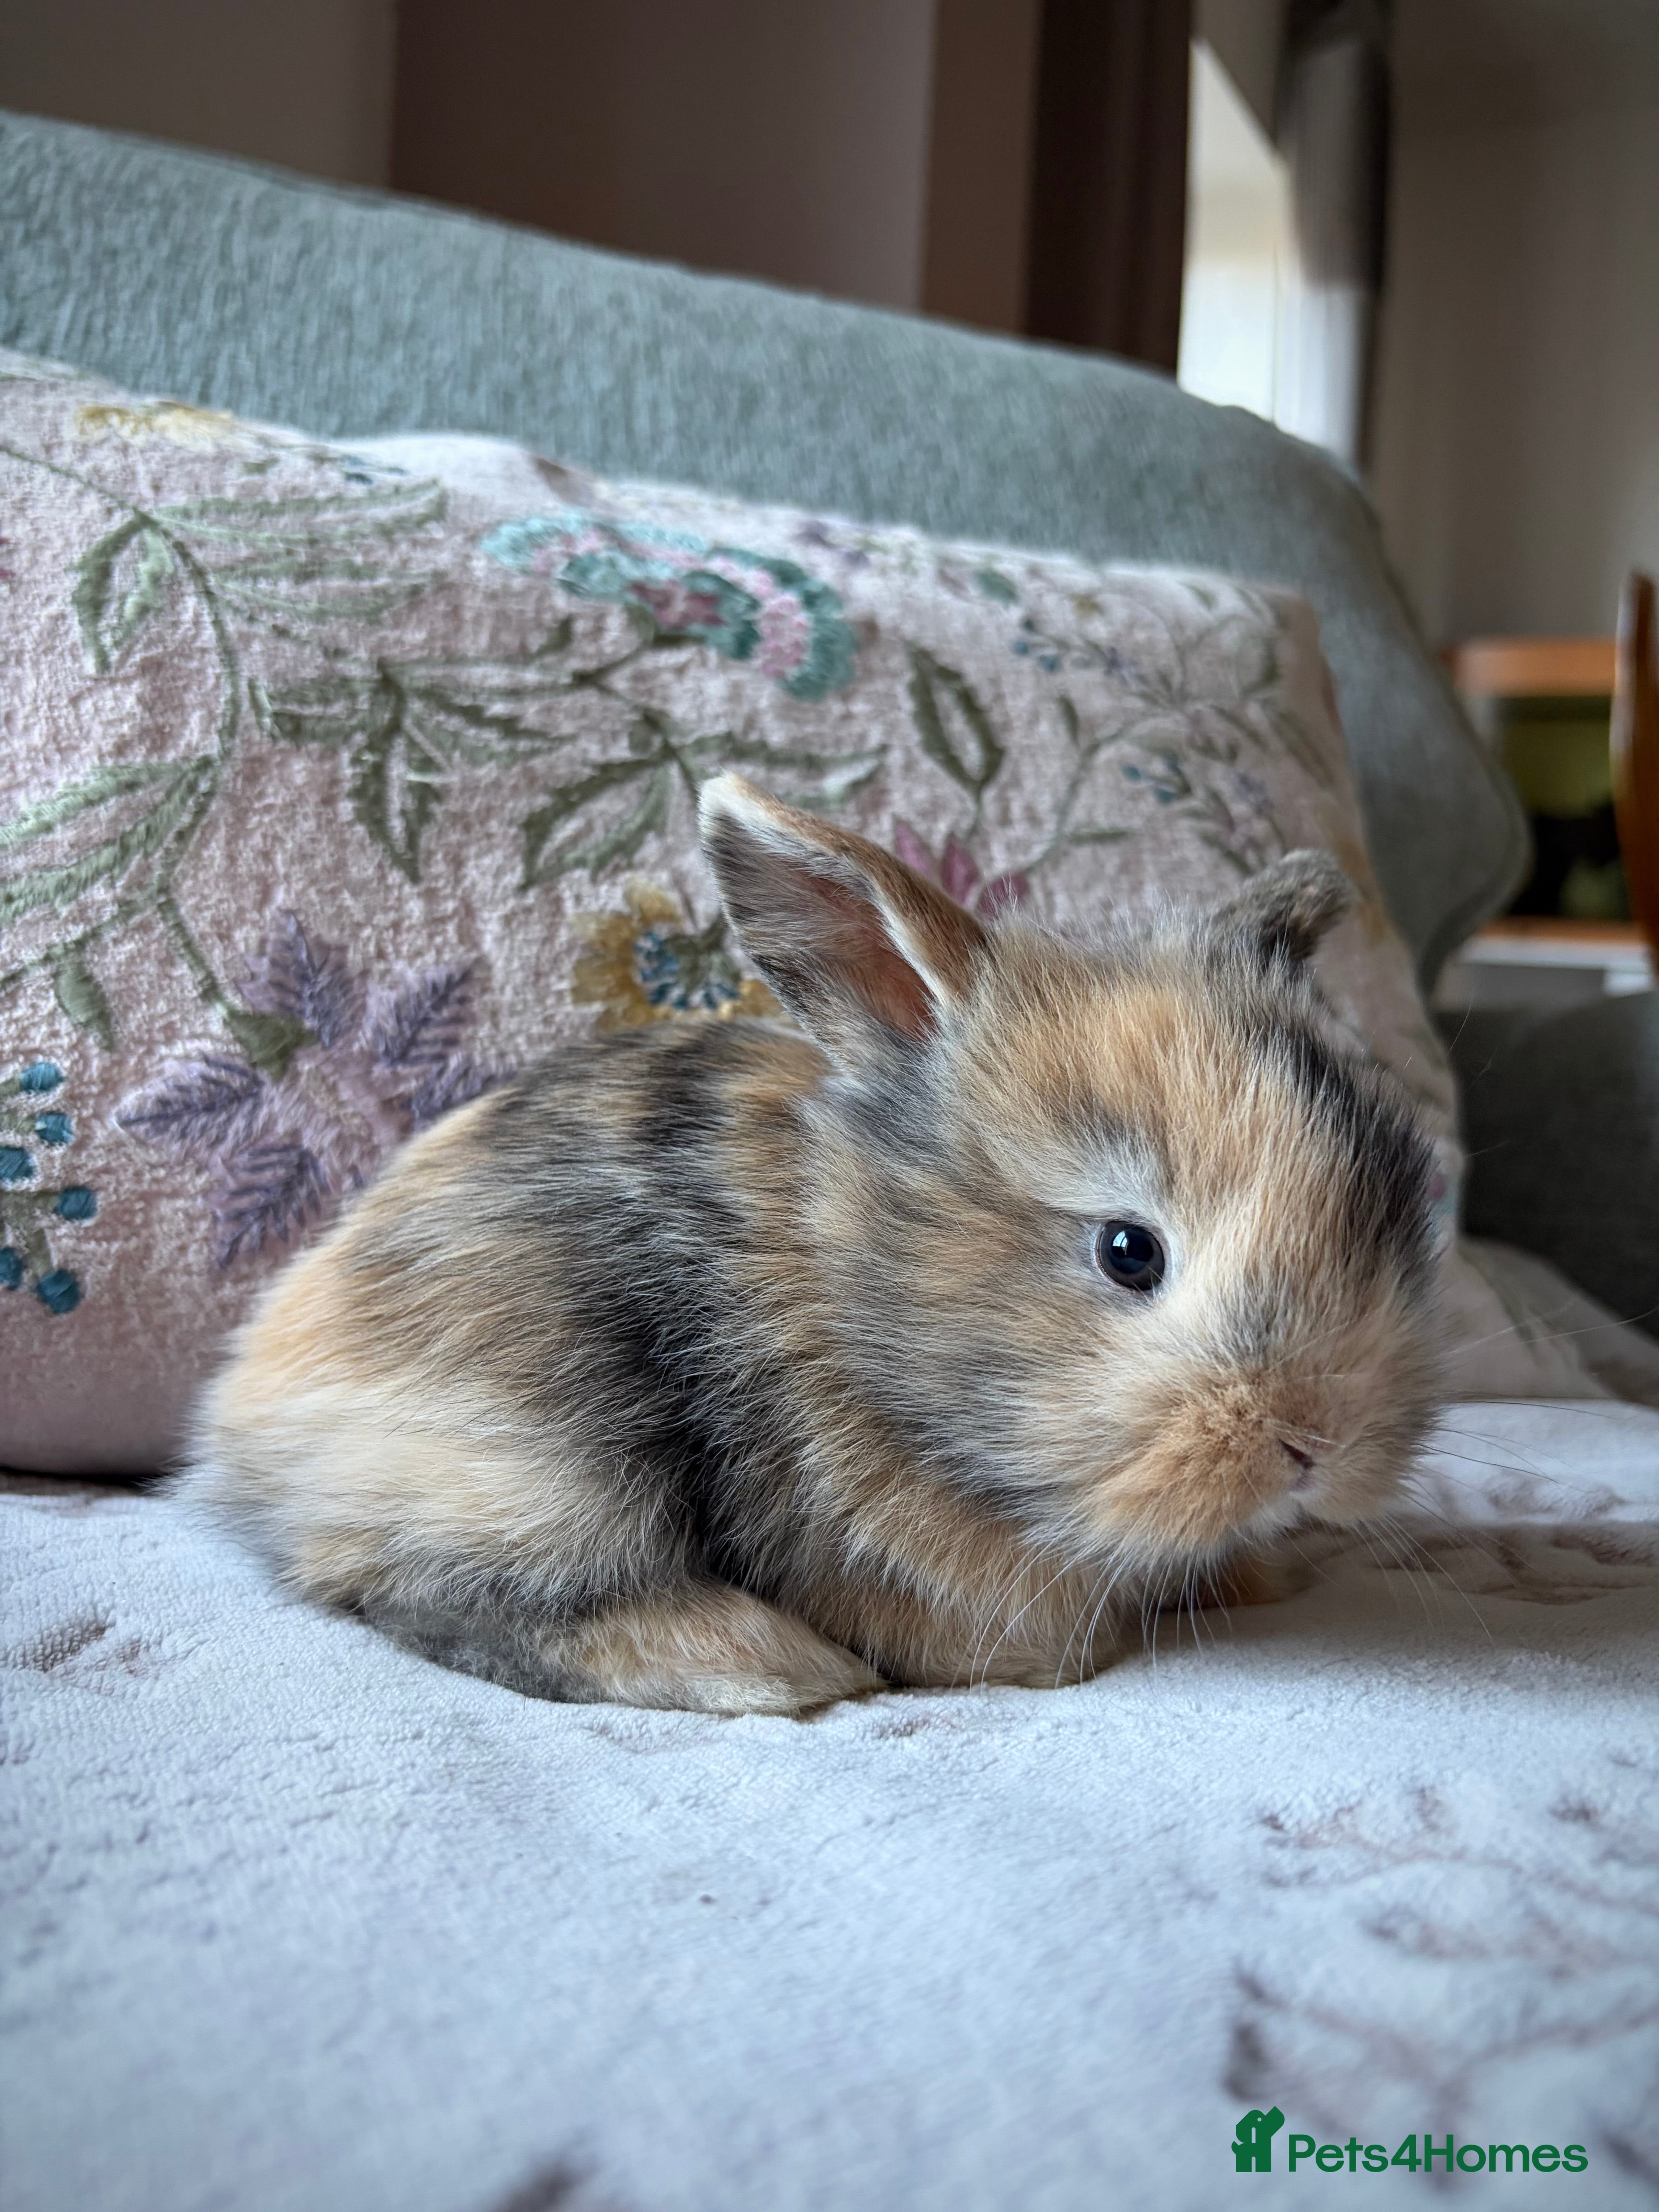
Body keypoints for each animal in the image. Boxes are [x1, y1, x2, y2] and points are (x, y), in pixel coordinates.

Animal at [190, 773, 1443, 1716]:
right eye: (1129, 1251)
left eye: (1392, 1209)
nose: (1317, 1446)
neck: (855, 1302)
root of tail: (241, 1418)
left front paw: (1271, 1569)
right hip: (532, 1460)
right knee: (416, 1587)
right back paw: (763, 1664)